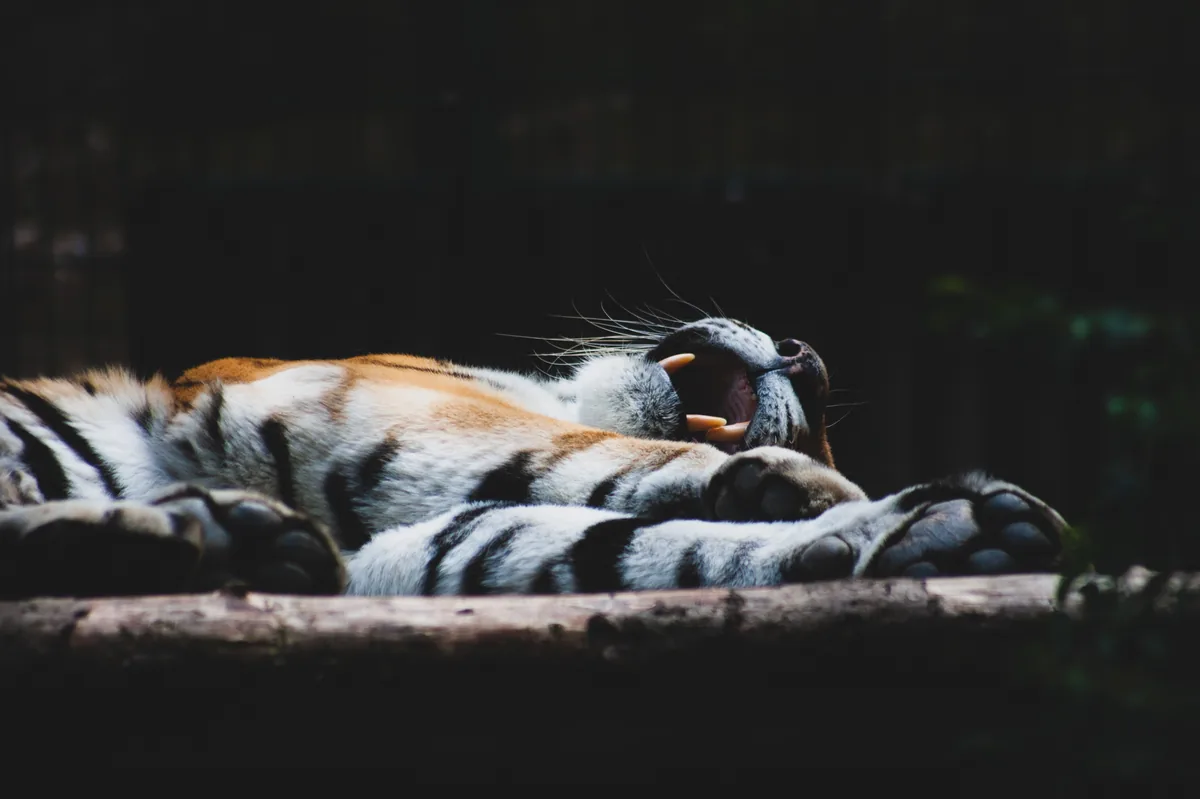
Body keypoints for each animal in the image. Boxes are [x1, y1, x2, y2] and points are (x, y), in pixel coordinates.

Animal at [0, 315, 1065, 599]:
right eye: (823, 422)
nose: (811, 356)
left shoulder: (386, 559)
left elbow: (580, 540)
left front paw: (953, 532)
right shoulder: (352, 391)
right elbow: (582, 453)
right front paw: (804, 488)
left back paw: (225, 539)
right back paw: (189, 533)